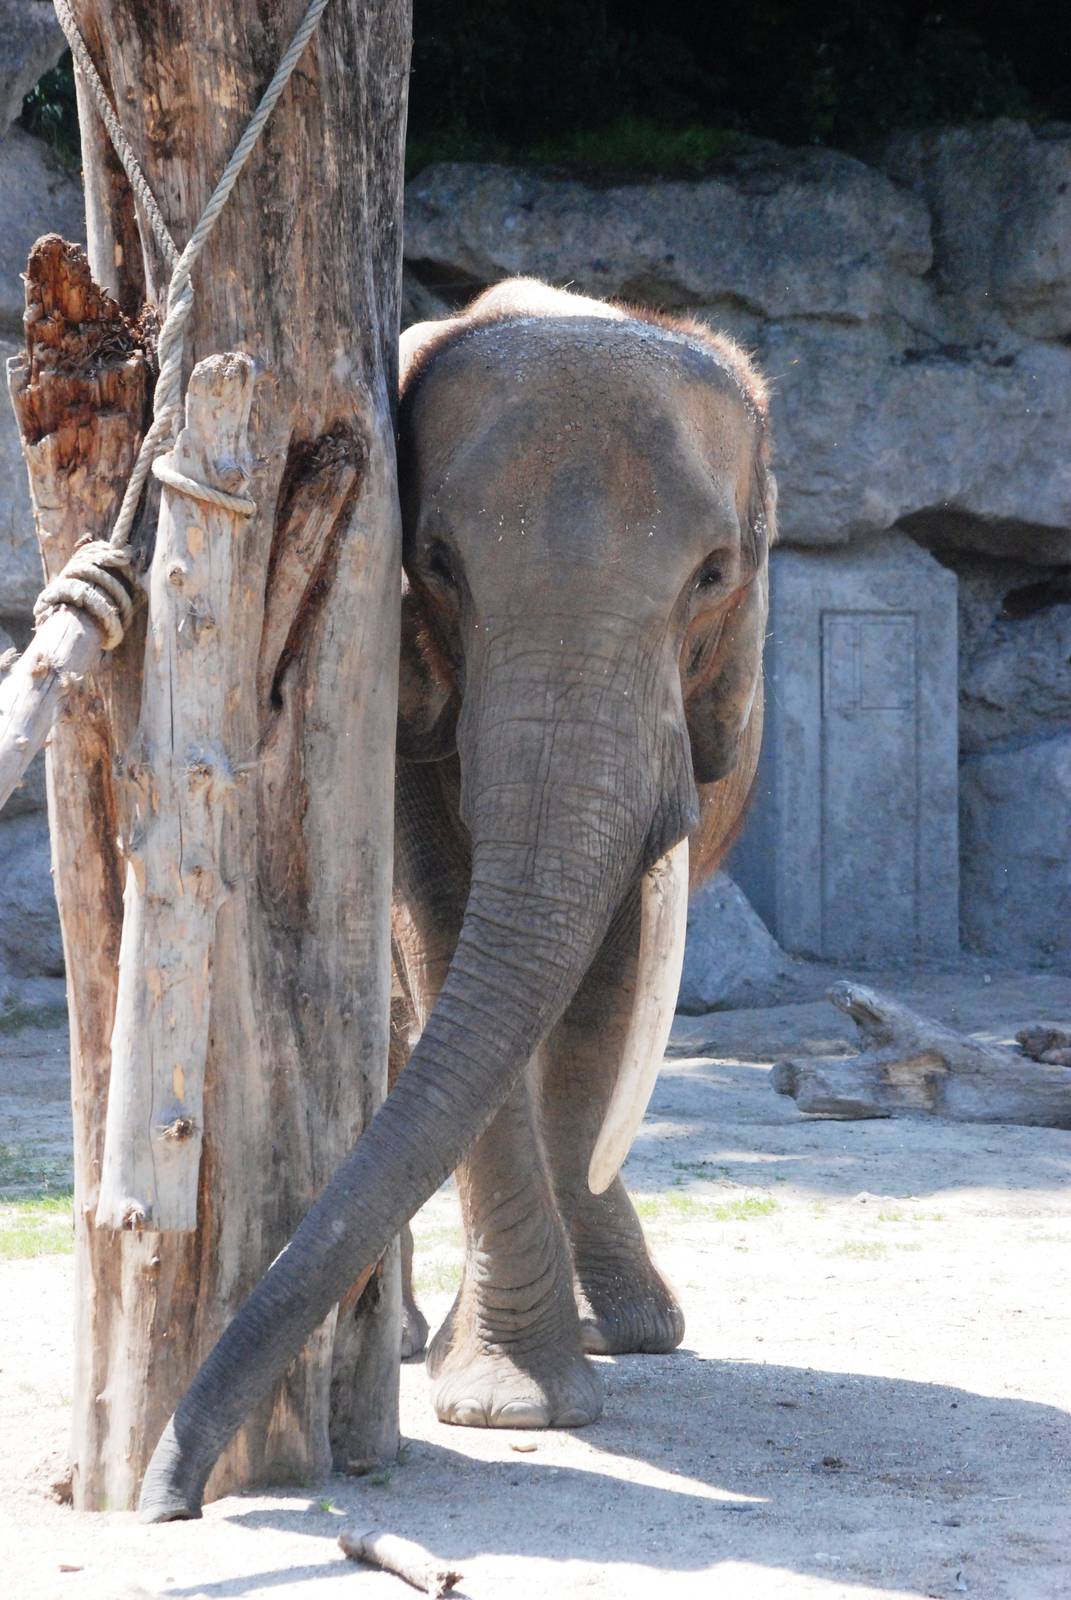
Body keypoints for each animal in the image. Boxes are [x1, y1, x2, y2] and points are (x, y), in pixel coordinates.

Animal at [138, 276, 775, 1520]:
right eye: (436, 562)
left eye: (715, 576)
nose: (165, 1496)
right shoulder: (408, 675)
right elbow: (440, 929)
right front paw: (507, 1406)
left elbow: (601, 976)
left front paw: (525, 1388)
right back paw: (423, 1337)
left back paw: (629, 1328)